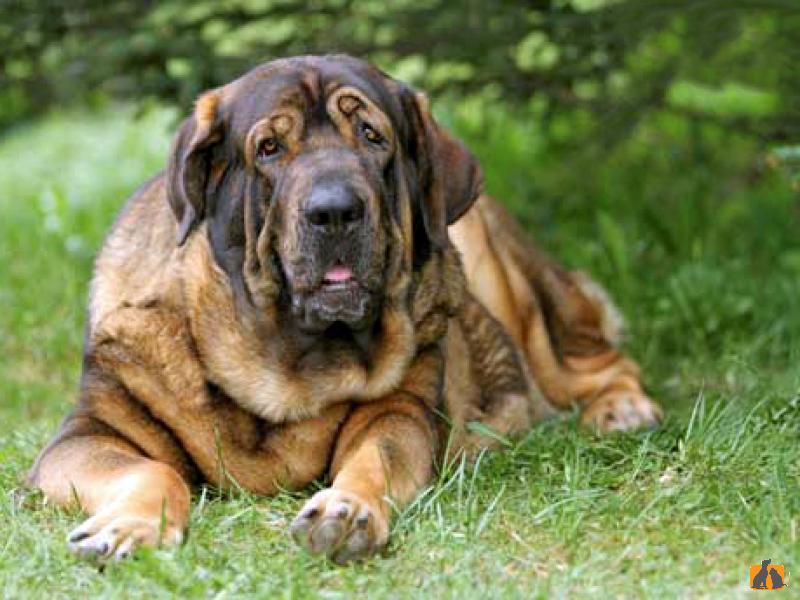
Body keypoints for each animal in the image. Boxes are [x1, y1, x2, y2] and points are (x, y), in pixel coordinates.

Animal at [28, 54, 662, 563]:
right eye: (269, 148)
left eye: (372, 136)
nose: (334, 210)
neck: (282, 365)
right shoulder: (88, 433)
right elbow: (152, 468)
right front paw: (128, 528)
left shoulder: (398, 413)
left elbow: (373, 460)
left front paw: (346, 510)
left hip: (506, 278)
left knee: (591, 358)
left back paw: (622, 408)